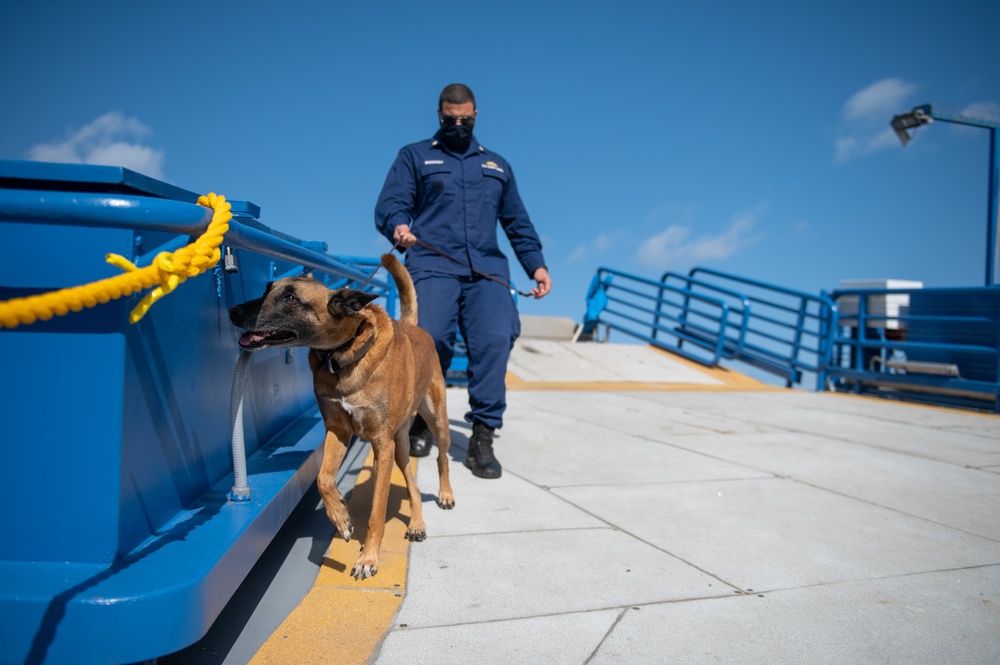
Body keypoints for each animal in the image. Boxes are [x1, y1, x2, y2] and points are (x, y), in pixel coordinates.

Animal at [230, 252, 454, 580]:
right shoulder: (337, 431)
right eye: (267, 289)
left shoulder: (381, 445)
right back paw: (416, 523)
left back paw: (445, 494)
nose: (232, 310)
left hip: (435, 421)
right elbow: (323, 478)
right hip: (400, 448)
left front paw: (369, 557)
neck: (341, 357)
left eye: (290, 297)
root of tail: (412, 326)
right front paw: (341, 517)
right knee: (412, 484)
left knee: (442, 458)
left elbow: (377, 511)